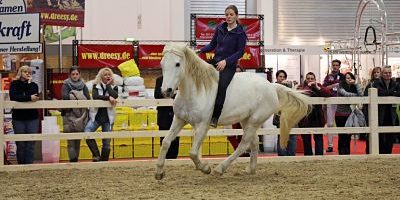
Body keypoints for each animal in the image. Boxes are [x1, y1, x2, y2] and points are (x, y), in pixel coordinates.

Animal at [155, 42, 310, 180]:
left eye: (177, 64)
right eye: (162, 64)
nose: (166, 90)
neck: (196, 91)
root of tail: (272, 86)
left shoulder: (202, 125)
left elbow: (193, 153)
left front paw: (206, 168)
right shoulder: (179, 120)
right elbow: (166, 142)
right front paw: (159, 172)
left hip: (254, 121)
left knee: (243, 145)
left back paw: (219, 169)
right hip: (246, 121)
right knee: (253, 142)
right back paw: (250, 169)